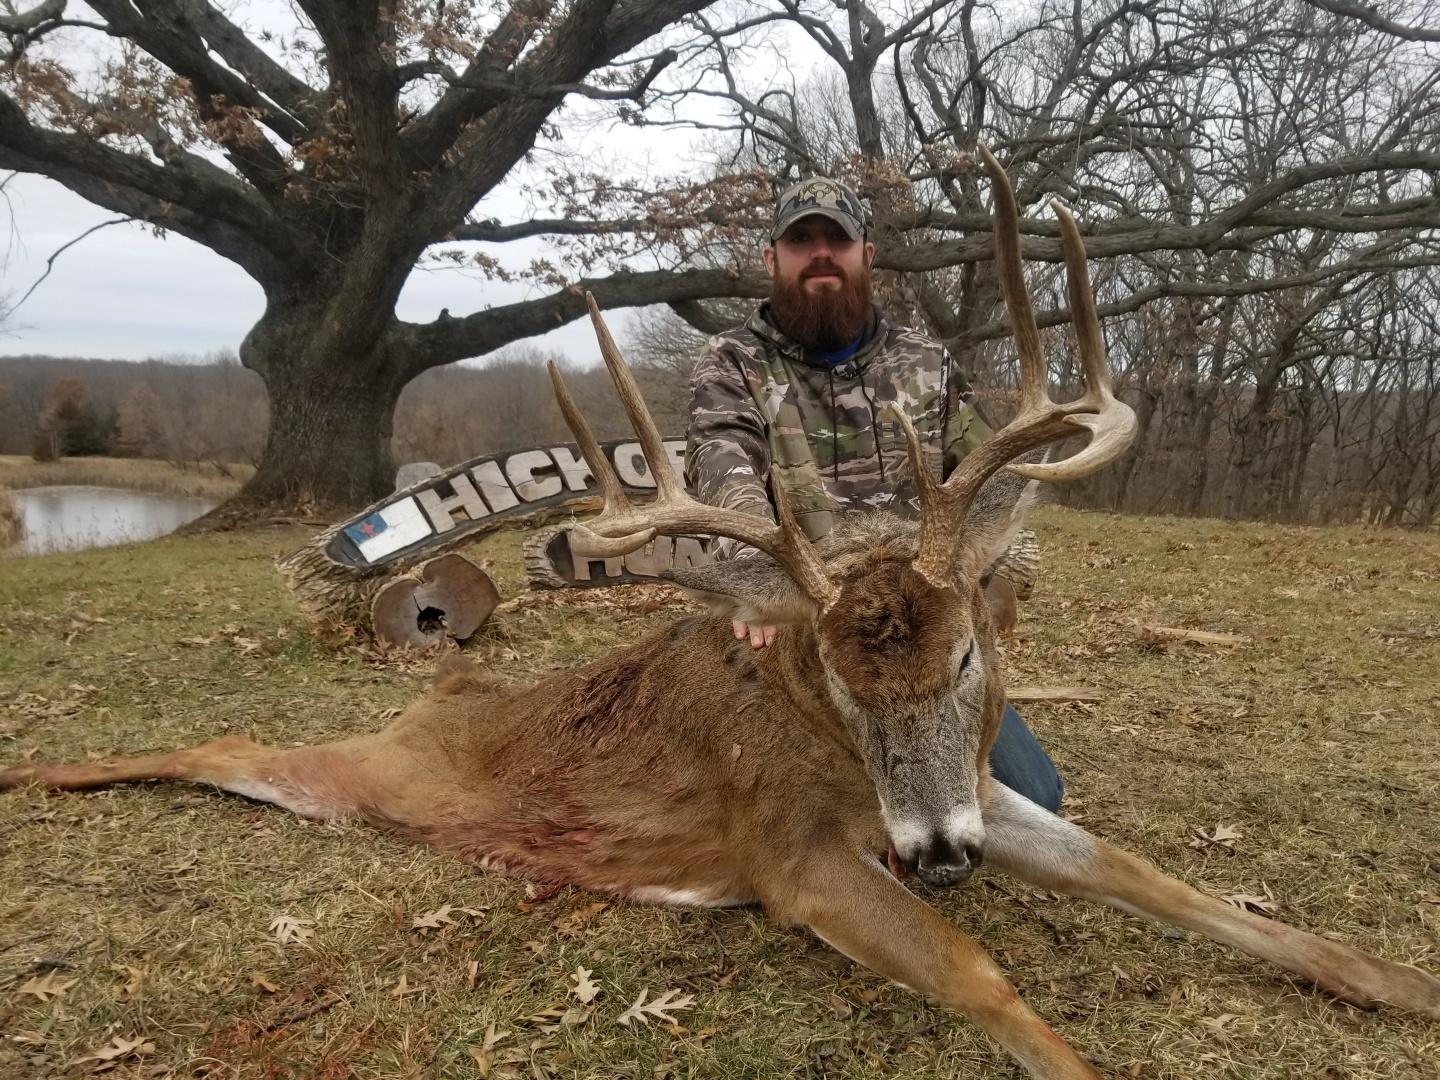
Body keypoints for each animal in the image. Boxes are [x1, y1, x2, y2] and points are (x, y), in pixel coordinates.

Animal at [4, 149, 1437, 1079]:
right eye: (843, 681)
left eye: (965, 659)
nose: (940, 859)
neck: (838, 752)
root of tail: (442, 687)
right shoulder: (793, 856)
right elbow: (984, 974)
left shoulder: (981, 795)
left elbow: (1175, 887)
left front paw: (1403, 986)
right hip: (358, 770)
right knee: (228, 744)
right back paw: (40, 773)